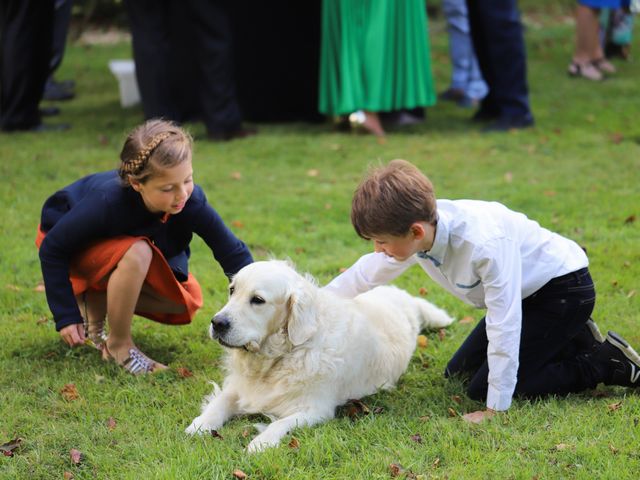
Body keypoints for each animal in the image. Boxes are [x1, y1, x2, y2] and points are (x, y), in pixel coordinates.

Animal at [185, 260, 456, 452]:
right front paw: (199, 425)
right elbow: (219, 404)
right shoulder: (239, 388)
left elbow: (280, 423)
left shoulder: (315, 409)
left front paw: (260, 442)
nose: (217, 323)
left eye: (258, 300)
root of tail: (403, 296)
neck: (281, 355)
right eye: (232, 290)